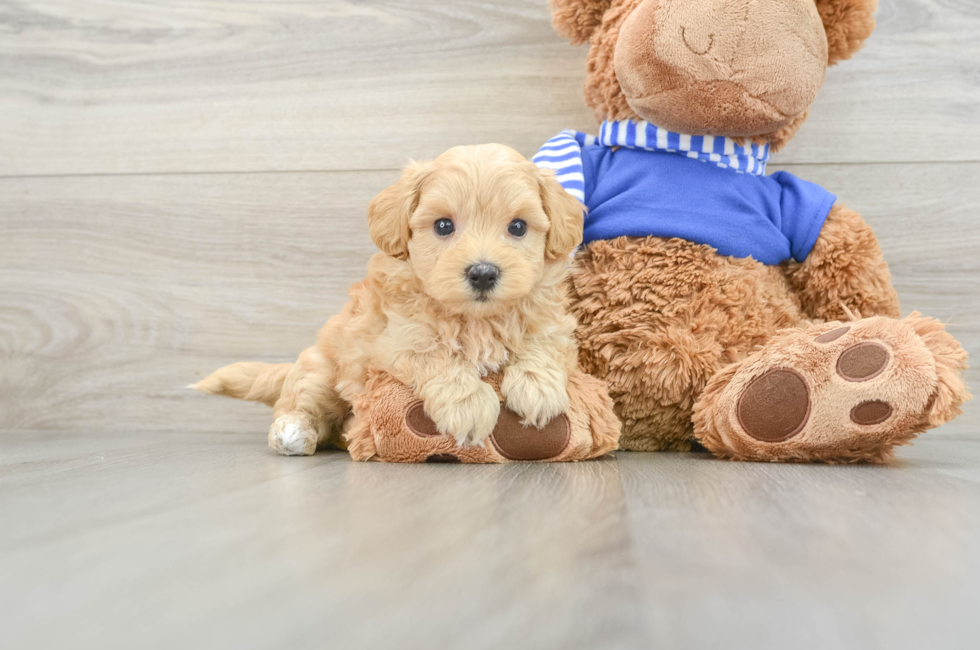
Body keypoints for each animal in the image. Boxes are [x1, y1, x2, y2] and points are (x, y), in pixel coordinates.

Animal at [195, 144, 584, 454]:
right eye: (443, 226)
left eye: (518, 227)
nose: (483, 273)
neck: (476, 319)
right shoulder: (400, 338)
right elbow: (439, 356)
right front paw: (469, 405)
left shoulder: (552, 322)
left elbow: (542, 344)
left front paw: (537, 389)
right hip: (321, 369)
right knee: (300, 403)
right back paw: (293, 433)